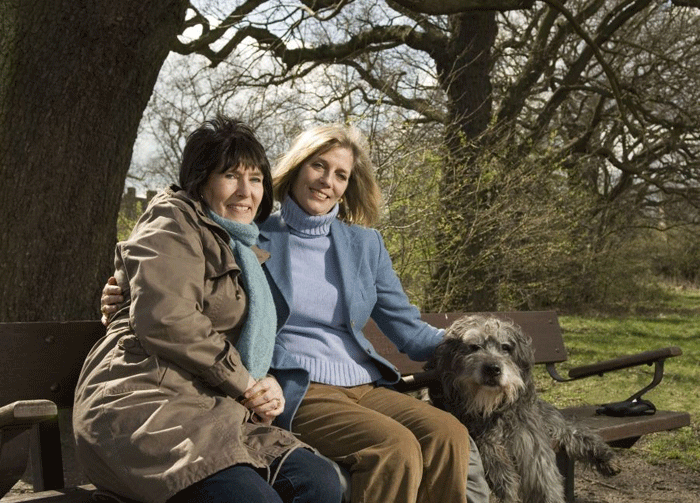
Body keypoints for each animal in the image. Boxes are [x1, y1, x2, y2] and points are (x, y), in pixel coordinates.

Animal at [426, 316, 616, 502]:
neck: (492, 409)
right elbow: (498, 467)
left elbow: (545, 486)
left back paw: (604, 456)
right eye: (473, 347)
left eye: (506, 347)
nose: (493, 369)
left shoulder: (533, 451)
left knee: (575, 432)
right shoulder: (482, 440)